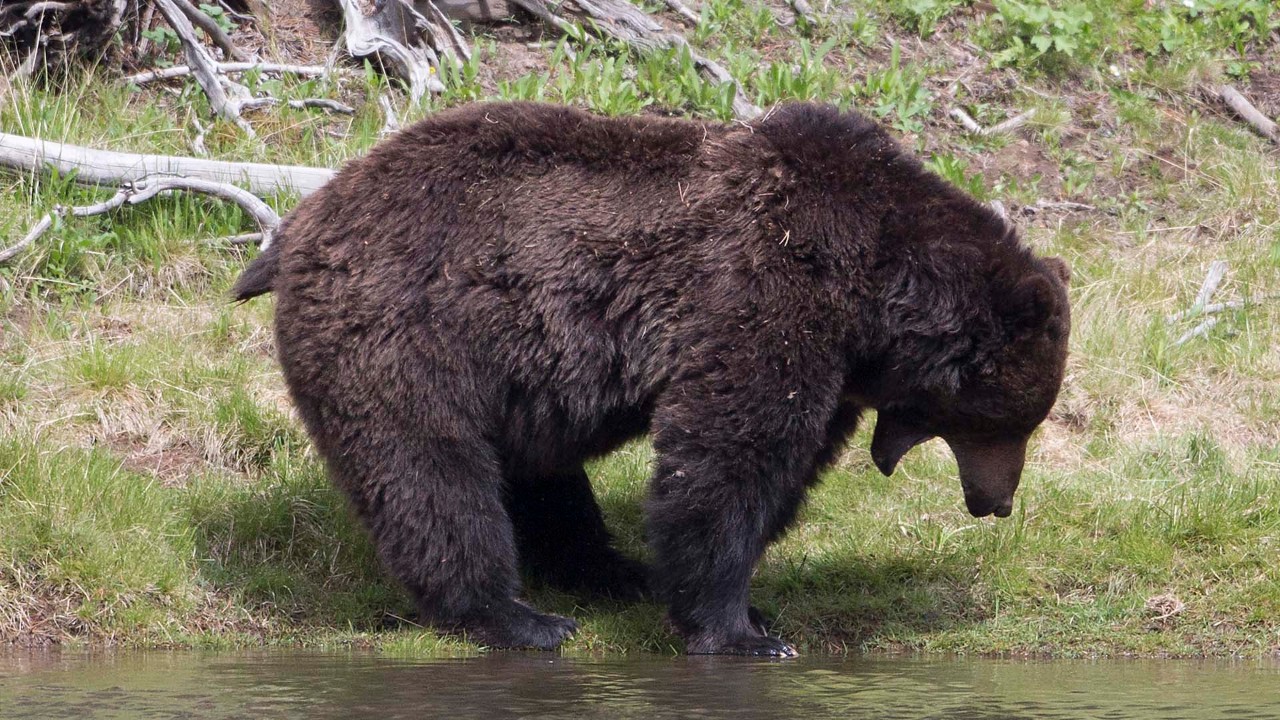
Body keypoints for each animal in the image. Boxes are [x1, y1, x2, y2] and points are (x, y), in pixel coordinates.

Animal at [232, 101, 1071, 657]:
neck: (877, 291)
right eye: (1009, 423)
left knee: (539, 478)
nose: (995, 501)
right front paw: (741, 630)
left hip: (505, 369)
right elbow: (729, 457)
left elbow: (783, 470)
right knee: (431, 473)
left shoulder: (830, 363)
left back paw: (609, 571)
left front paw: (747, 609)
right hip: (407, 333)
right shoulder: (766, 300)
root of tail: (299, 222)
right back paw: (520, 616)